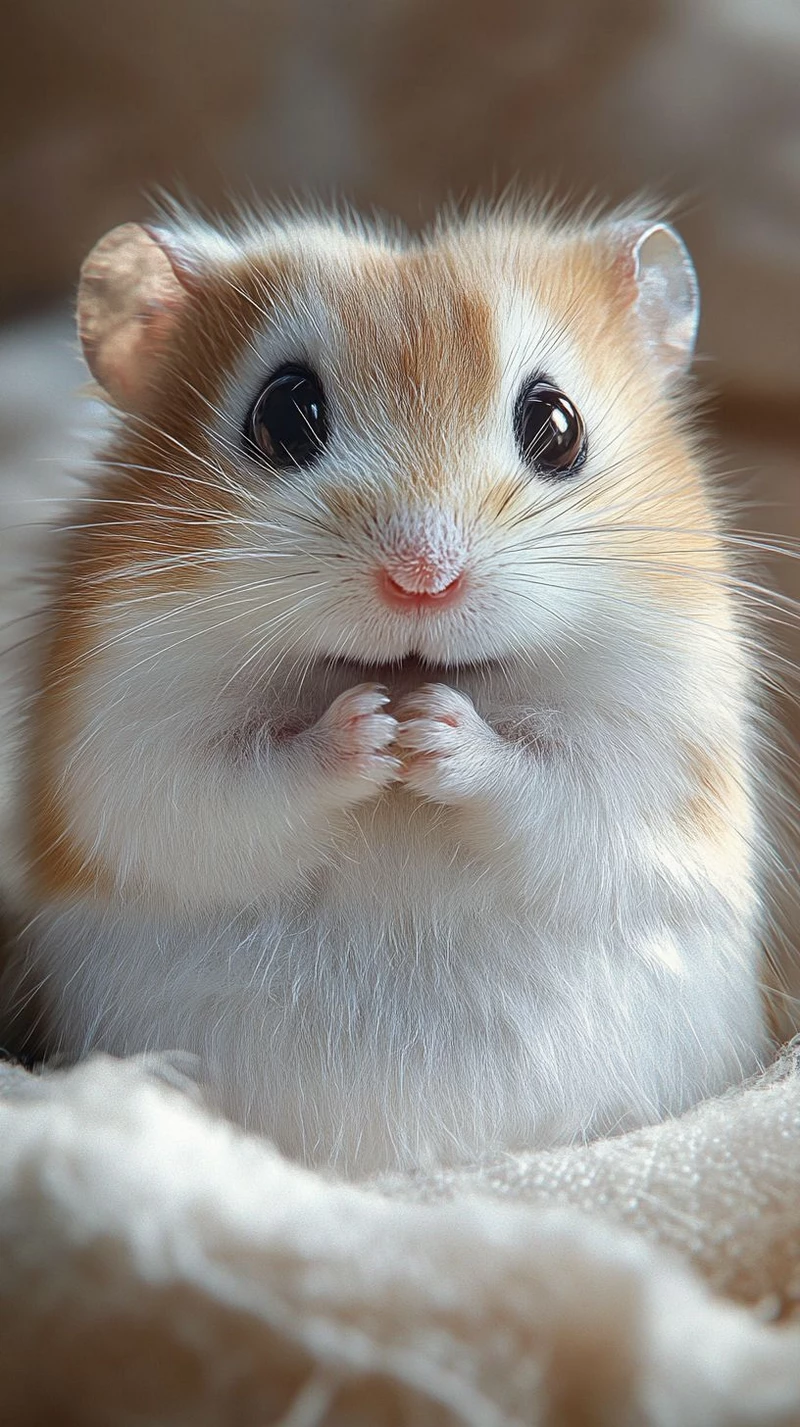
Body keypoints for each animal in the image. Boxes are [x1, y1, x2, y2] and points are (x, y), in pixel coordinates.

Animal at [0, 203, 771, 1175]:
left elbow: (555, 782)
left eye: (557, 425)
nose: (422, 578)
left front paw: (431, 728)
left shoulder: (654, 755)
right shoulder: (132, 746)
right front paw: (373, 729)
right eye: (283, 414)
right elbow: (234, 787)